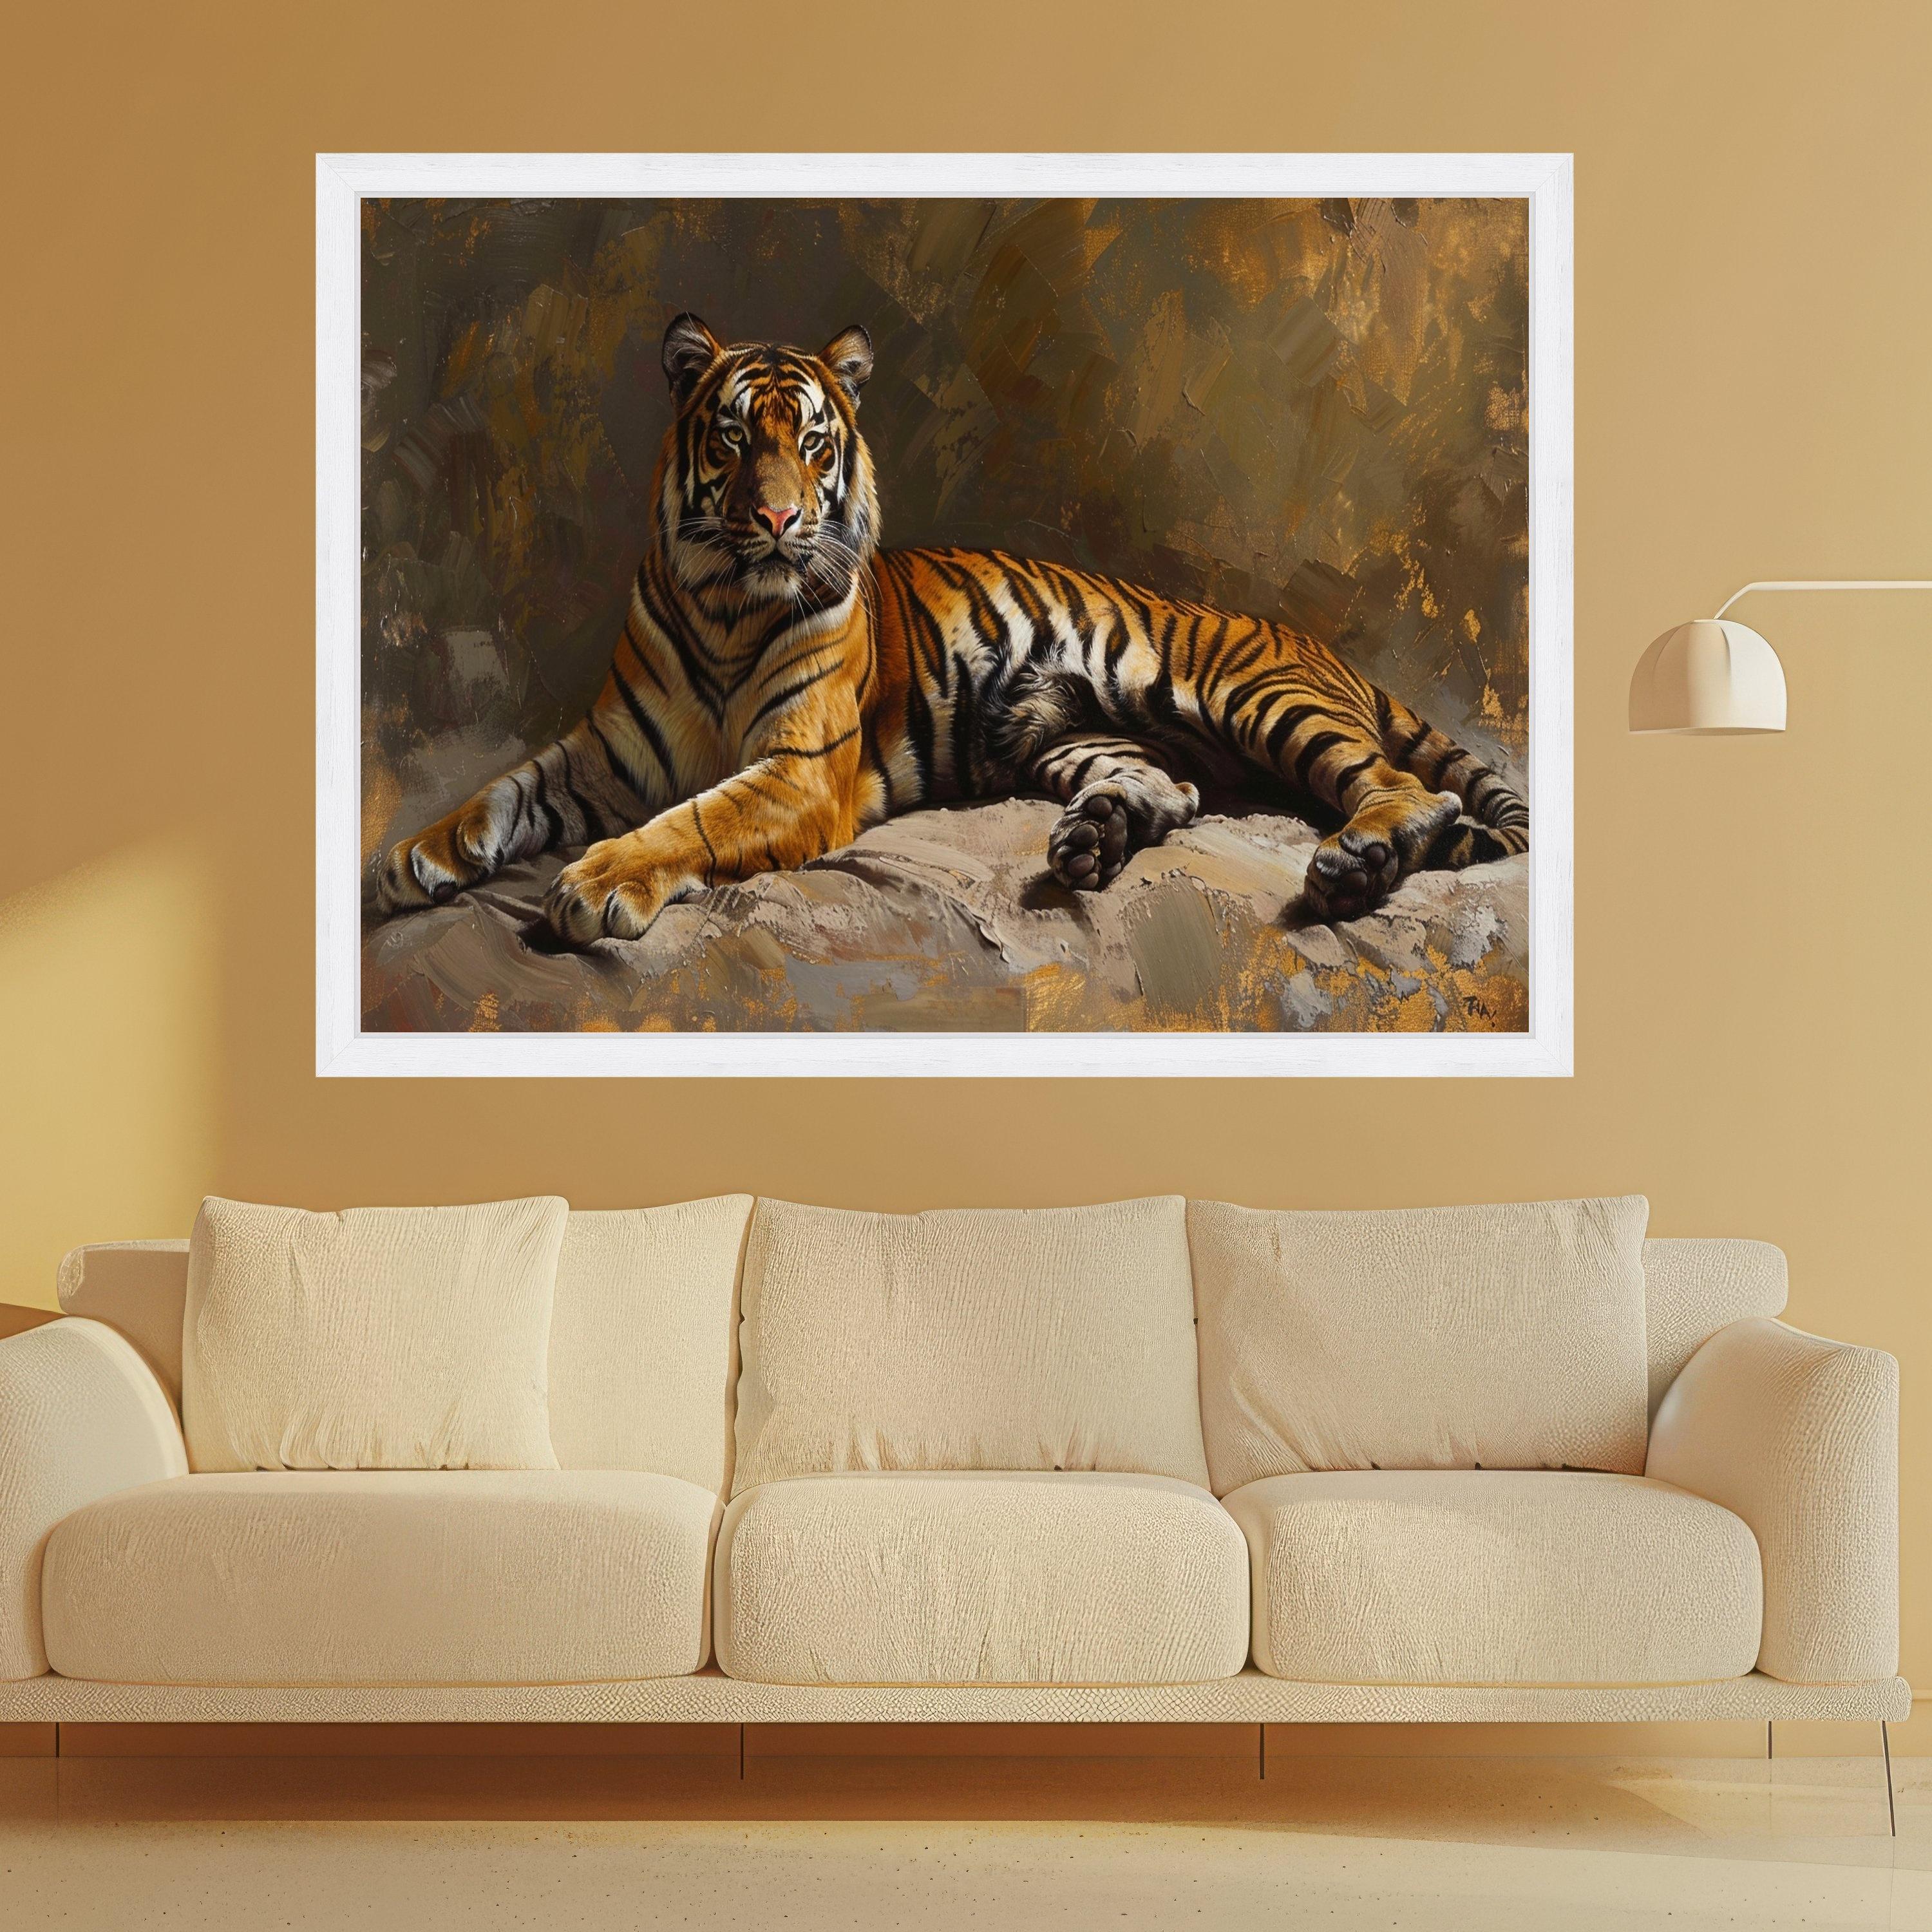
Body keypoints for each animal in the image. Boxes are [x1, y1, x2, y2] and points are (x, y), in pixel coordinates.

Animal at [373, 312, 1528, 947]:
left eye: (814, 440)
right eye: (736, 437)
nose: (778, 520)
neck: (726, 604)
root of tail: (1319, 645)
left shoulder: (797, 772)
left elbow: (689, 821)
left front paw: (597, 883)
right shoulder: (607, 751)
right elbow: (500, 792)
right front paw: (408, 862)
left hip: (1253, 696)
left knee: (1405, 790)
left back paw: (1356, 864)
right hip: (1078, 738)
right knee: (1174, 788)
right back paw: (1092, 843)